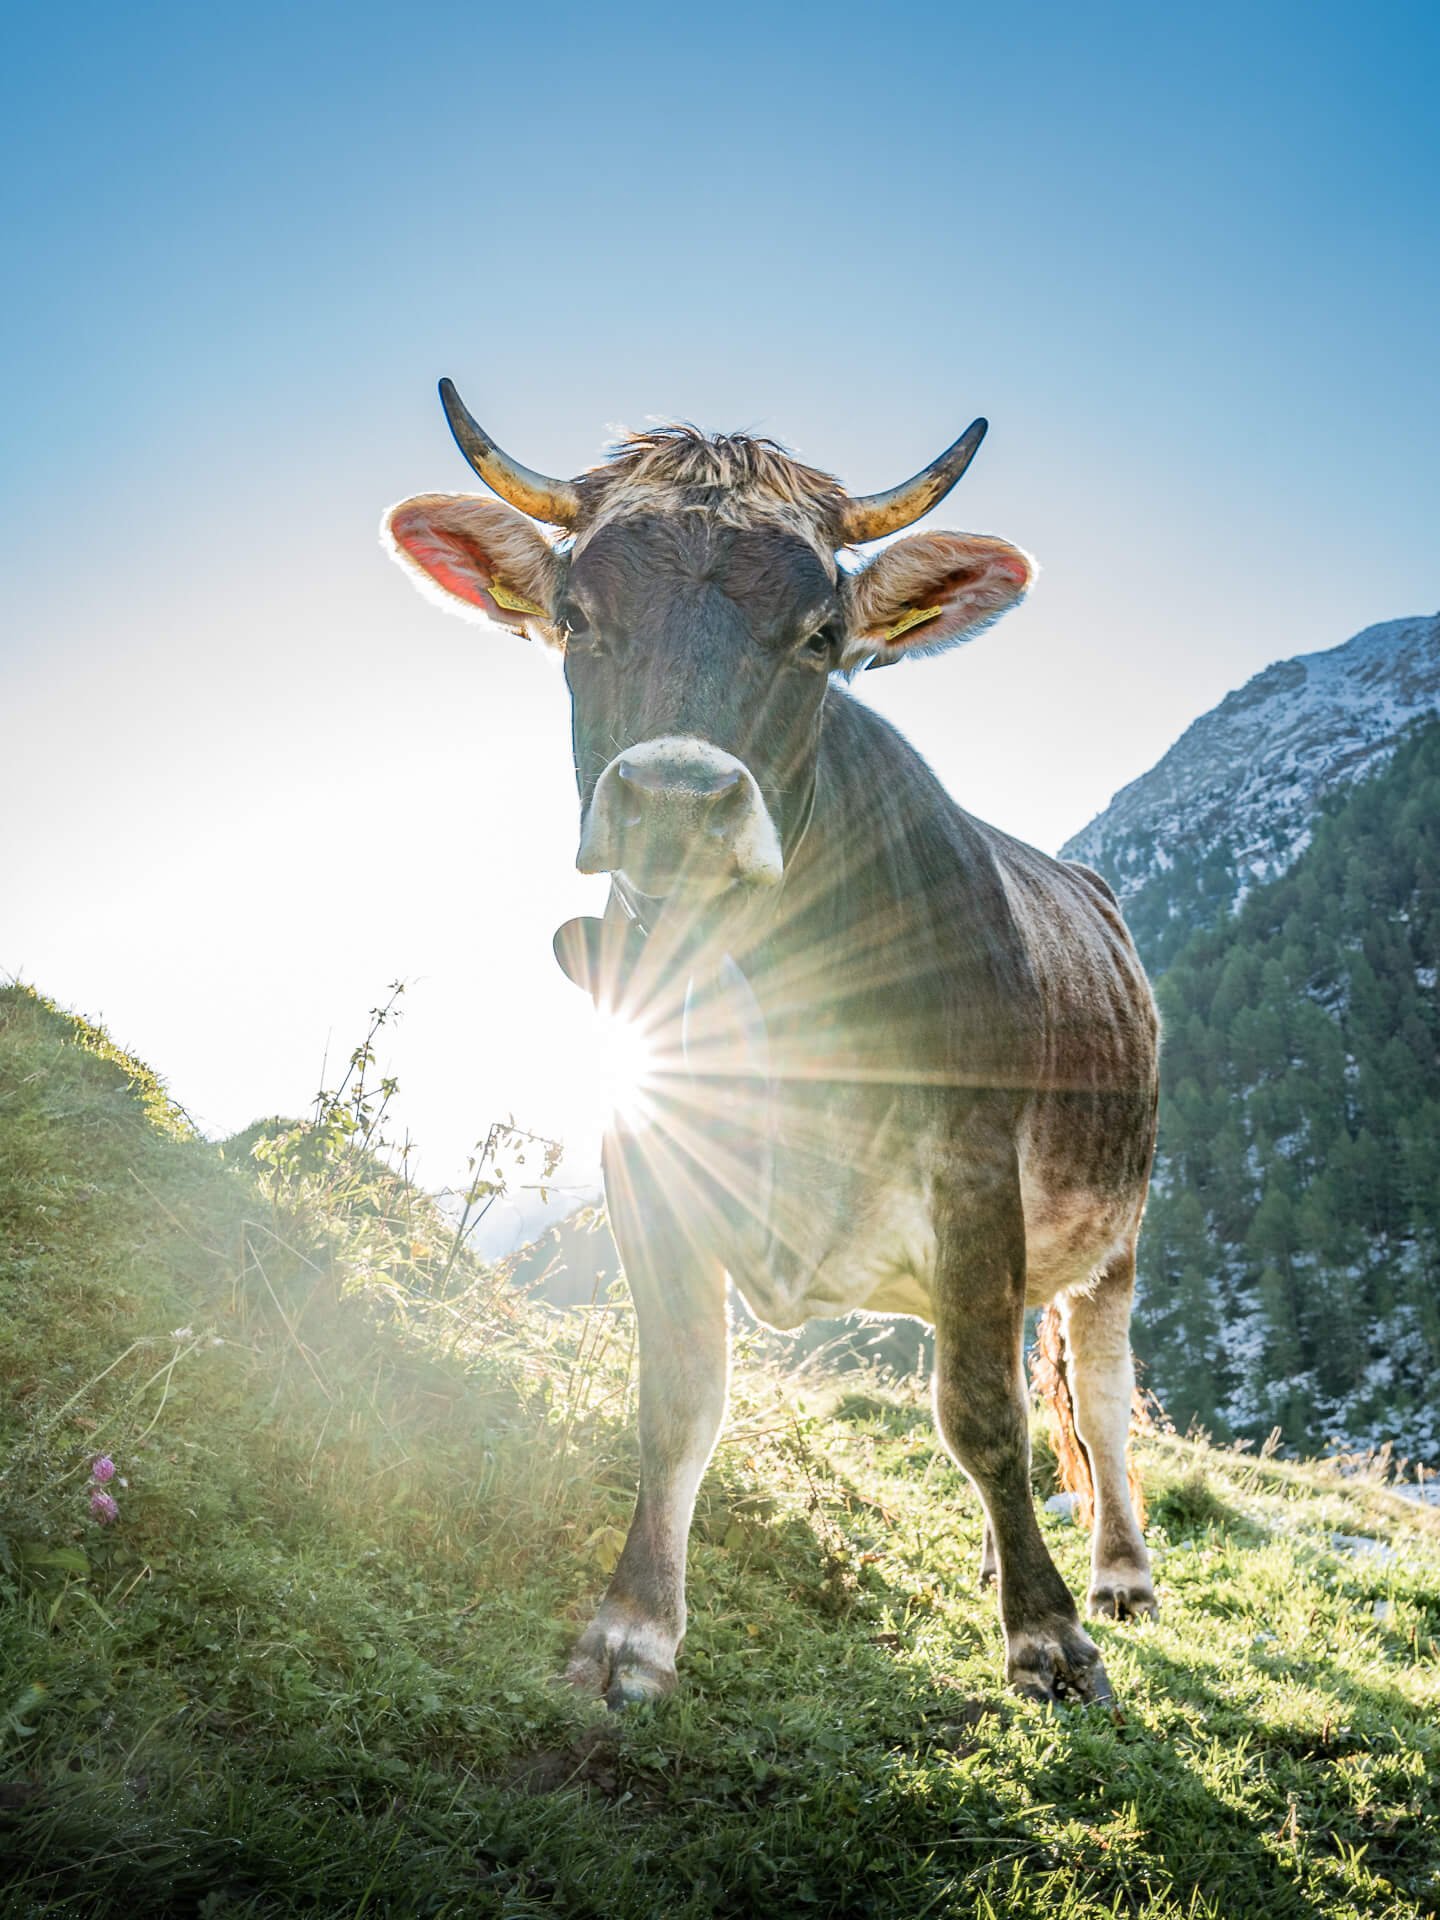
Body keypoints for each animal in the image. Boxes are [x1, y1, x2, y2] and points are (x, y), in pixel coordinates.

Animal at [383, 381, 1160, 1709]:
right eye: (578, 619)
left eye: (818, 635)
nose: (677, 800)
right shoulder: (643, 1148)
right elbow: (681, 1394)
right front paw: (633, 1630)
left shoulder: (973, 1167)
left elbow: (984, 1414)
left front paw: (1049, 1635)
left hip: (1116, 1229)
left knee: (1096, 1401)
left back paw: (1117, 1574)